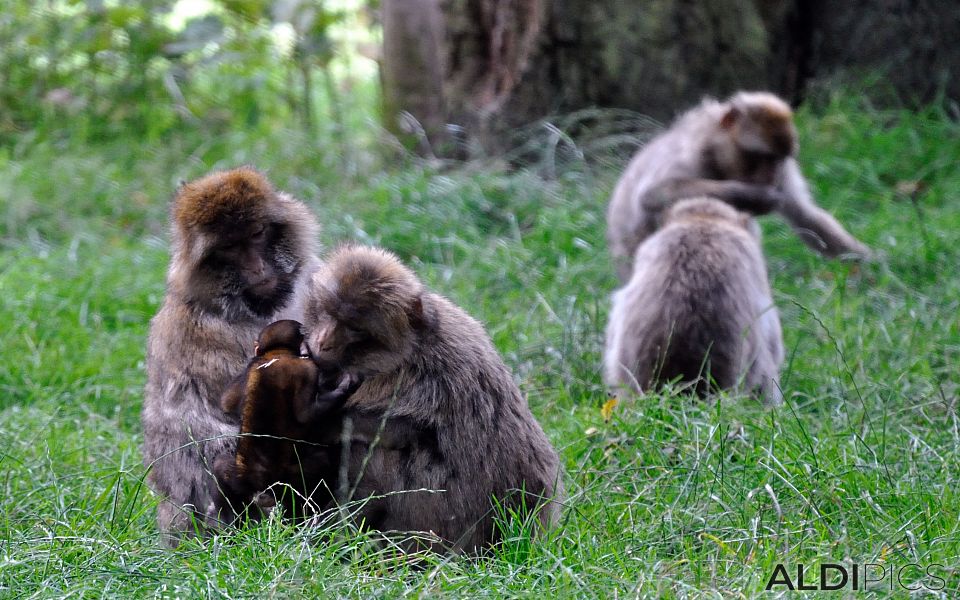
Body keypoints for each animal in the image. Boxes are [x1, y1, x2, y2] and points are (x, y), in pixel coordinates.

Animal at [212, 318, 358, 520]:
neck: (277, 353)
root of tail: (262, 490)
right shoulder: (307, 368)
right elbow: (307, 413)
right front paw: (347, 384)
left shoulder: (250, 366)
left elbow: (226, 401)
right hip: (287, 482)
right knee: (321, 462)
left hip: (241, 479)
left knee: (219, 467)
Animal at [612, 91, 872, 282]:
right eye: (765, 157)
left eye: (778, 160)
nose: (771, 177)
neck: (719, 159)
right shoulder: (690, 157)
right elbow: (654, 195)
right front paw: (755, 196)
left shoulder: (784, 174)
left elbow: (804, 215)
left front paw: (870, 263)